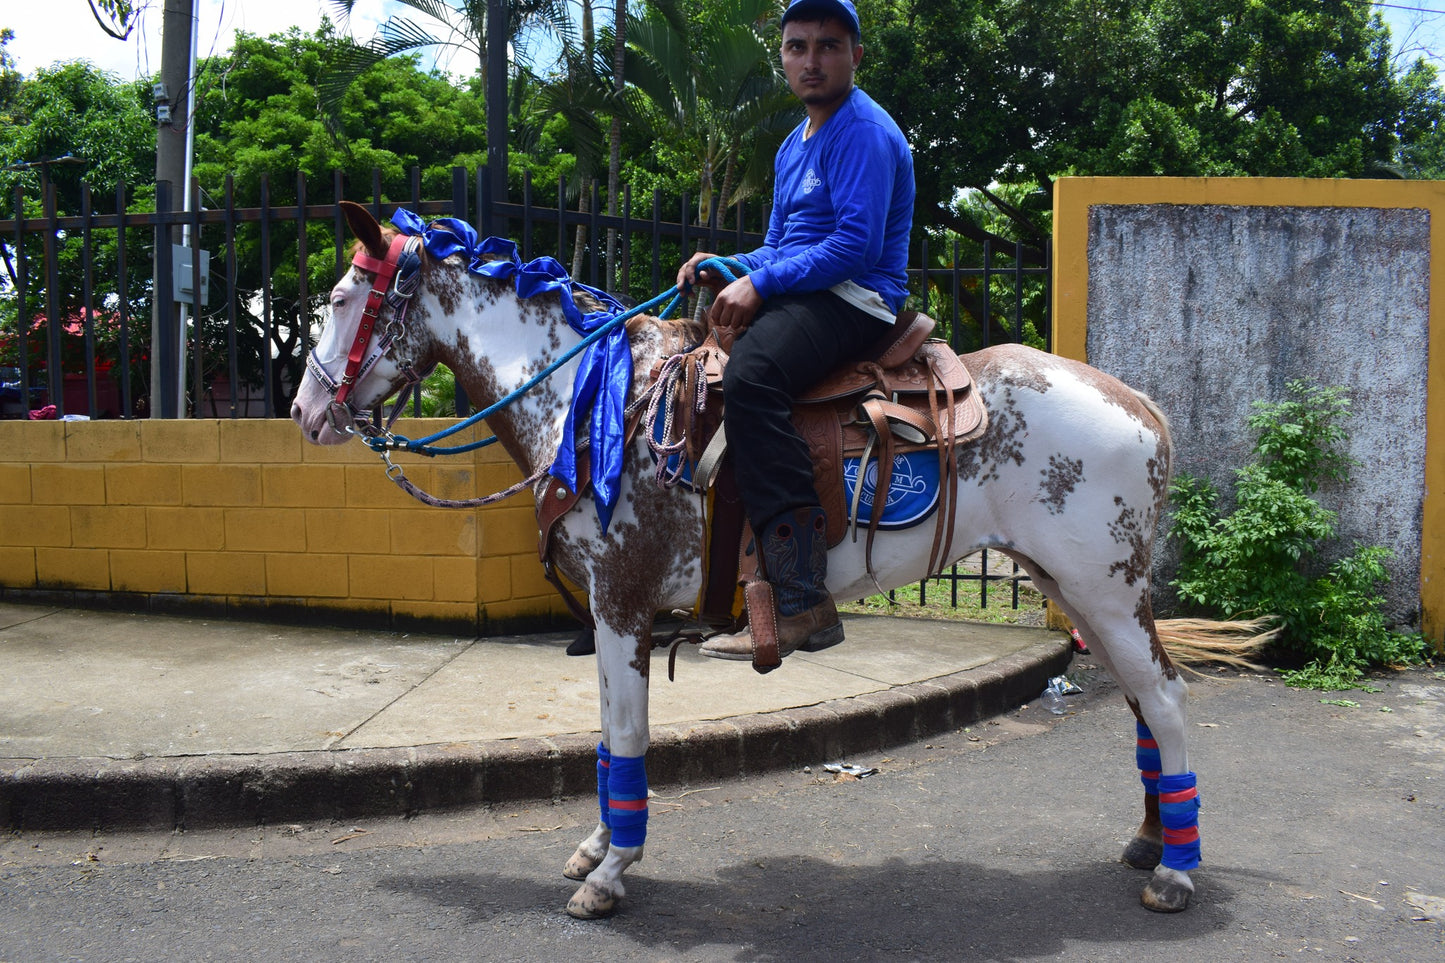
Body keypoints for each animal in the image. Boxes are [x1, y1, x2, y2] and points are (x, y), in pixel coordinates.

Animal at [287, 202, 1202, 913]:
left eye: (341, 297)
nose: (302, 413)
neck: (591, 397)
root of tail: (1139, 402)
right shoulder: (609, 612)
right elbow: (608, 734)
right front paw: (597, 847)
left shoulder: (624, 602)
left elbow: (627, 733)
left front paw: (613, 872)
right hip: (1074, 587)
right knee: (1140, 702)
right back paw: (1149, 839)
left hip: (1103, 588)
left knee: (1164, 697)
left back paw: (1177, 870)